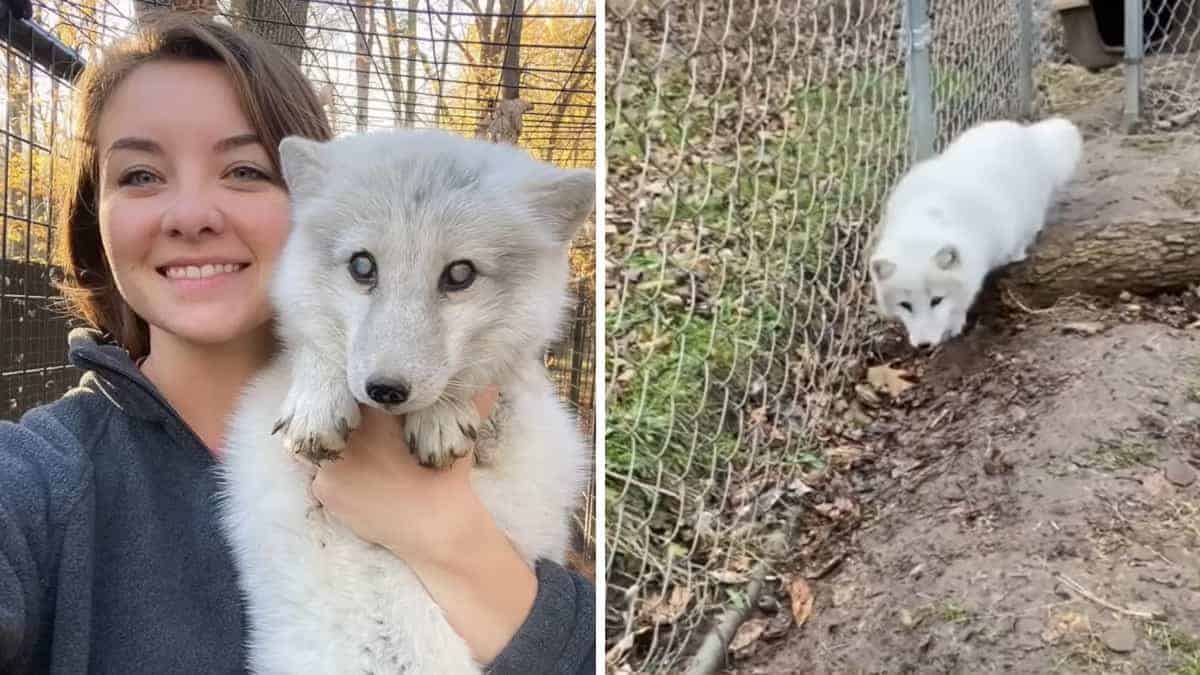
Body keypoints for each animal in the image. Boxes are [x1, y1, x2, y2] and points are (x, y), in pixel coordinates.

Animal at [214, 128, 595, 667]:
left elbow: (483, 385)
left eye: (460, 274)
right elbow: (314, 347)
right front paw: (317, 402)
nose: (386, 389)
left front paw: (443, 415)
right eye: (361, 265)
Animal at [868, 116, 1084, 345]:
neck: (922, 222)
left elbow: (961, 303)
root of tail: (1026, 133)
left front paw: (953, 327)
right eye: (905, 305)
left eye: (937, 300)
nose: (924, 345)